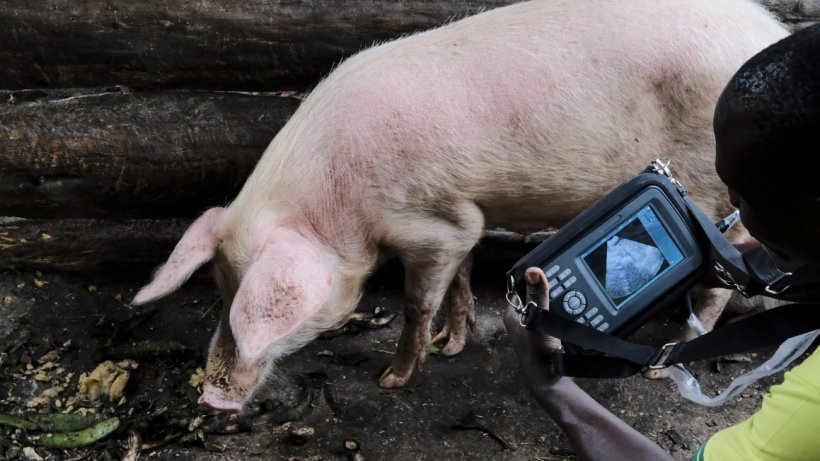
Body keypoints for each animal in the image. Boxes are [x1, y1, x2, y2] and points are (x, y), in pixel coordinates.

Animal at [131, 0, 790, 410]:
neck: (336, 205)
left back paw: (666, 358)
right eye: (219, 289)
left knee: (728, 265)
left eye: (252, 305)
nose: (211, 397)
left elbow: (417, 301)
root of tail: (769, 34)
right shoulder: (462, 212)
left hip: (709, 189)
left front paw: (393, 379)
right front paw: (454, 343)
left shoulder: (428, 224)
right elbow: (464, 274)